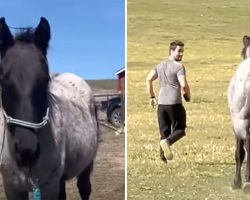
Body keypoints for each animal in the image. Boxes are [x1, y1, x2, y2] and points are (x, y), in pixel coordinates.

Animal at [0, 18, 98, 199]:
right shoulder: (12, 187)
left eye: (45, 79)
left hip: (87, 163)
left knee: (84, 188)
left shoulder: (48, 187)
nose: (27, 150)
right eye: (2, 80)